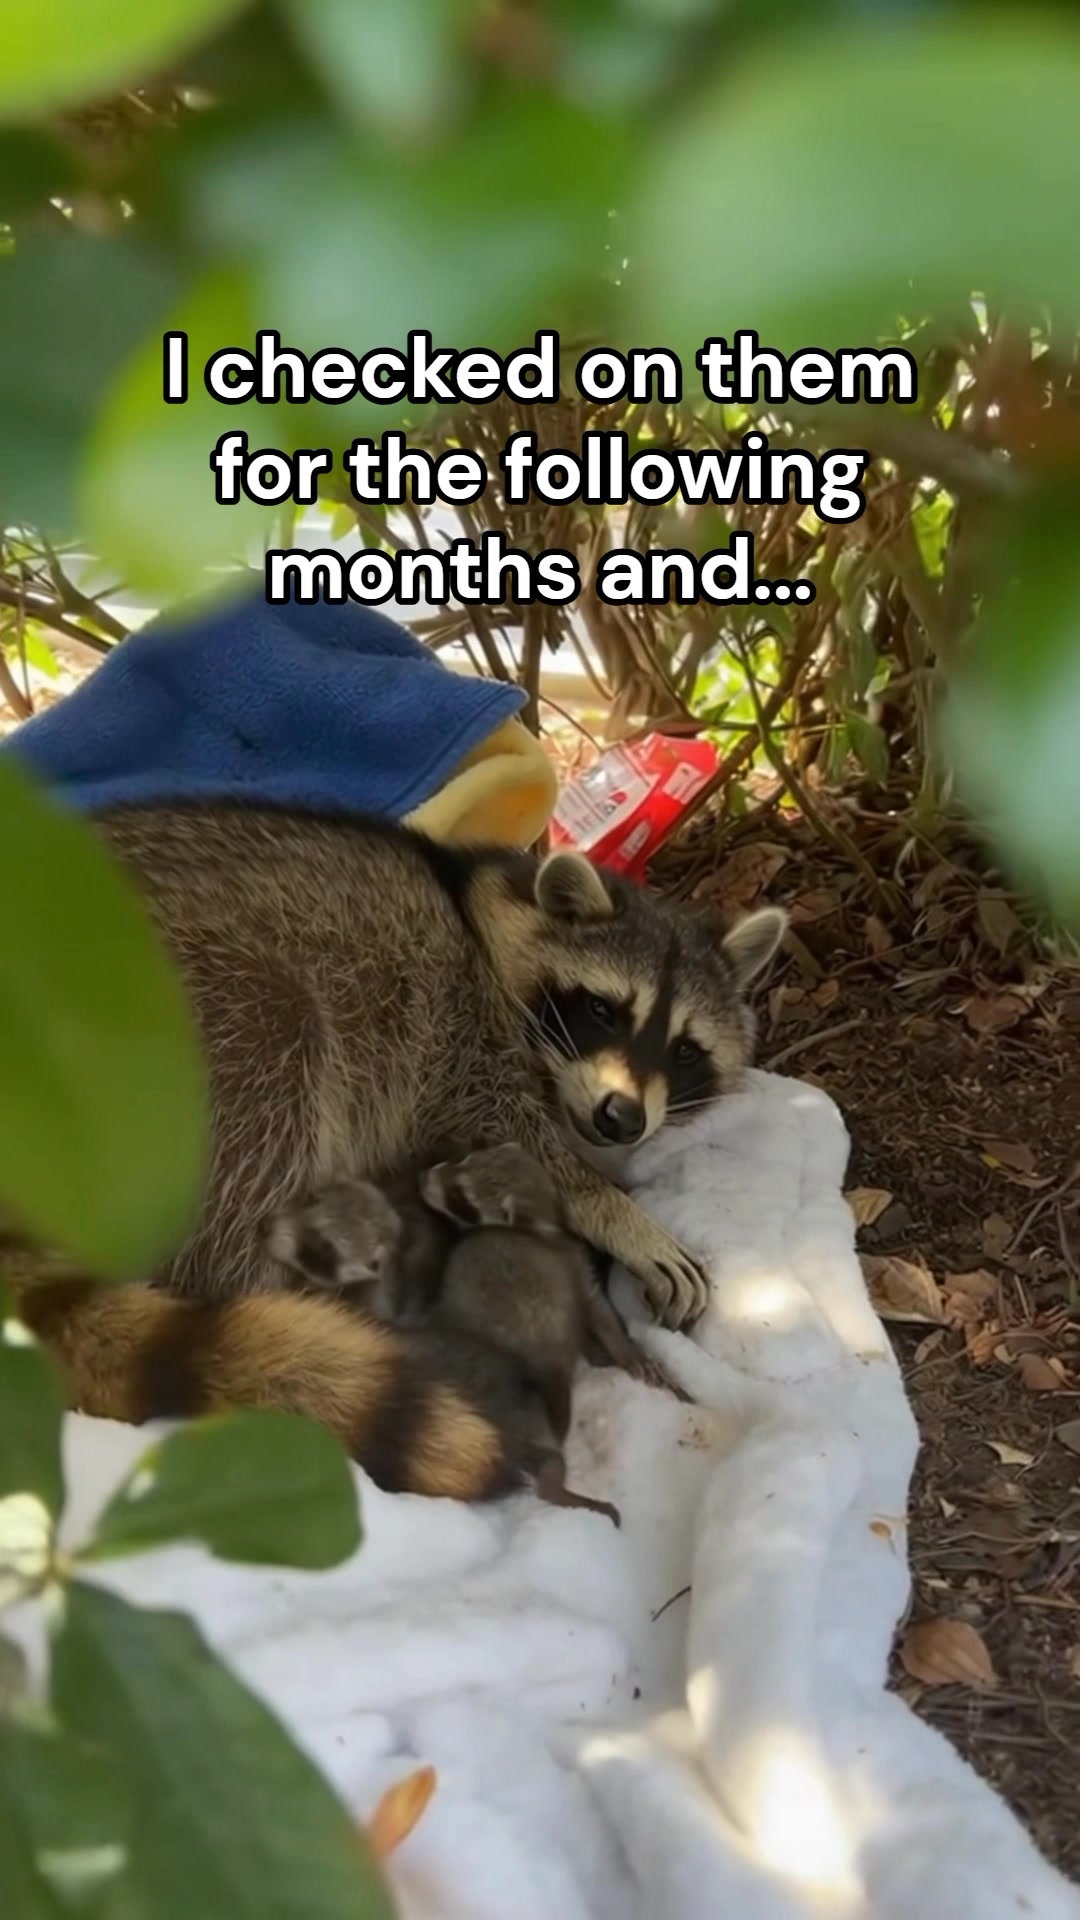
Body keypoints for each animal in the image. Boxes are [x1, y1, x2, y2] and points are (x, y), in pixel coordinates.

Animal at [15, 803, 784, 1501]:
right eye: (602, 1011)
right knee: (274, 1035)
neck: (484, 911)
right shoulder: (458, 1036)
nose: (621, 1119)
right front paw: (614, 1212)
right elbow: (513, 1134)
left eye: (684, 1051)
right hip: (162, 1025)